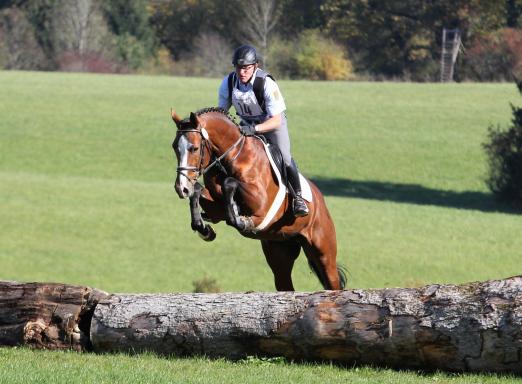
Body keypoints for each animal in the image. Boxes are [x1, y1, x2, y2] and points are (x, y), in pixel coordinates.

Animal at [169, 106, 344, 290]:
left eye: (194, 148)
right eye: (174, 147)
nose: (181, 188)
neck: (233, 156)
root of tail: (321, 201)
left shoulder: (260, 203)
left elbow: (229, 183)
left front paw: (241, 221)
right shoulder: (217, 210)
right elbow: (198, 190)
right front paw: (203, 228)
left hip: (324, 253)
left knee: (333, 281)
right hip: (280, 252)